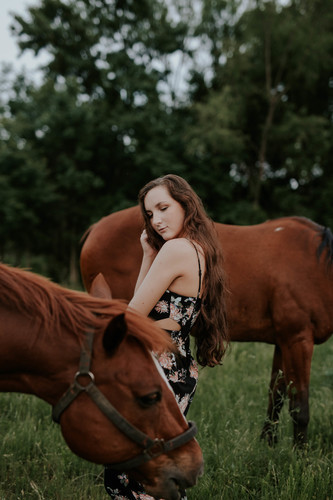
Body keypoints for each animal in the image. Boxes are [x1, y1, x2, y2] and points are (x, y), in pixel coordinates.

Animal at [80, 205, 332, 448]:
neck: (315, 264)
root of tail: (95, 228)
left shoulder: (283, 342)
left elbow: (276, 397)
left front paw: (268, 445)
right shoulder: (298, 340)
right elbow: (299, 407)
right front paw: (300, 454)